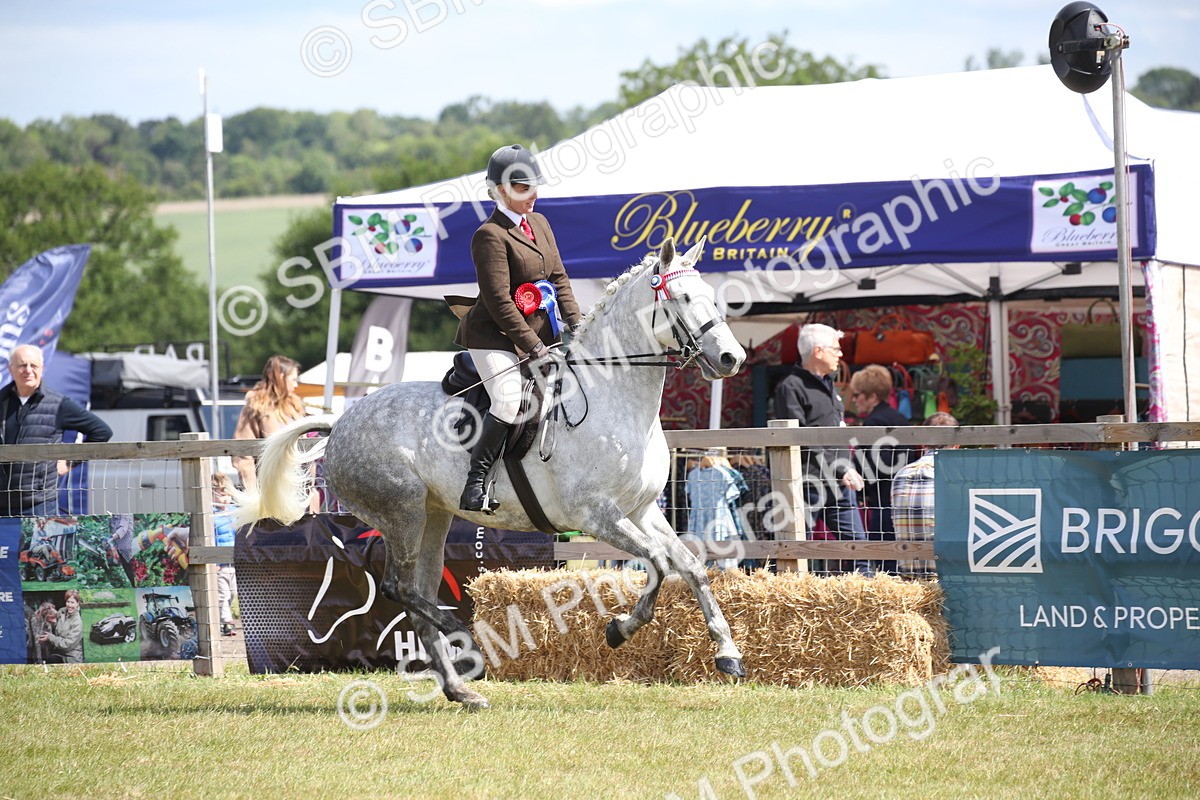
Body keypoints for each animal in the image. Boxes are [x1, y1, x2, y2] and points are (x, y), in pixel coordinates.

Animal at [237, 236, 747, 709]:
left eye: (711, 295)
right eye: (682, 298)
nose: (732, 359)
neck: (612, 397)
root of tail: (340, 423)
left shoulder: (641, 511)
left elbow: (691, 567)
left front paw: (728, 654)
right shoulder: (597, 515)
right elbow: (659, 564)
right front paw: (620, 629)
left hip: (434, 518)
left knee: (417, 594)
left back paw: (461, 689)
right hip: (403, 514)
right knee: (398, 588)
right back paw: (468, 647)